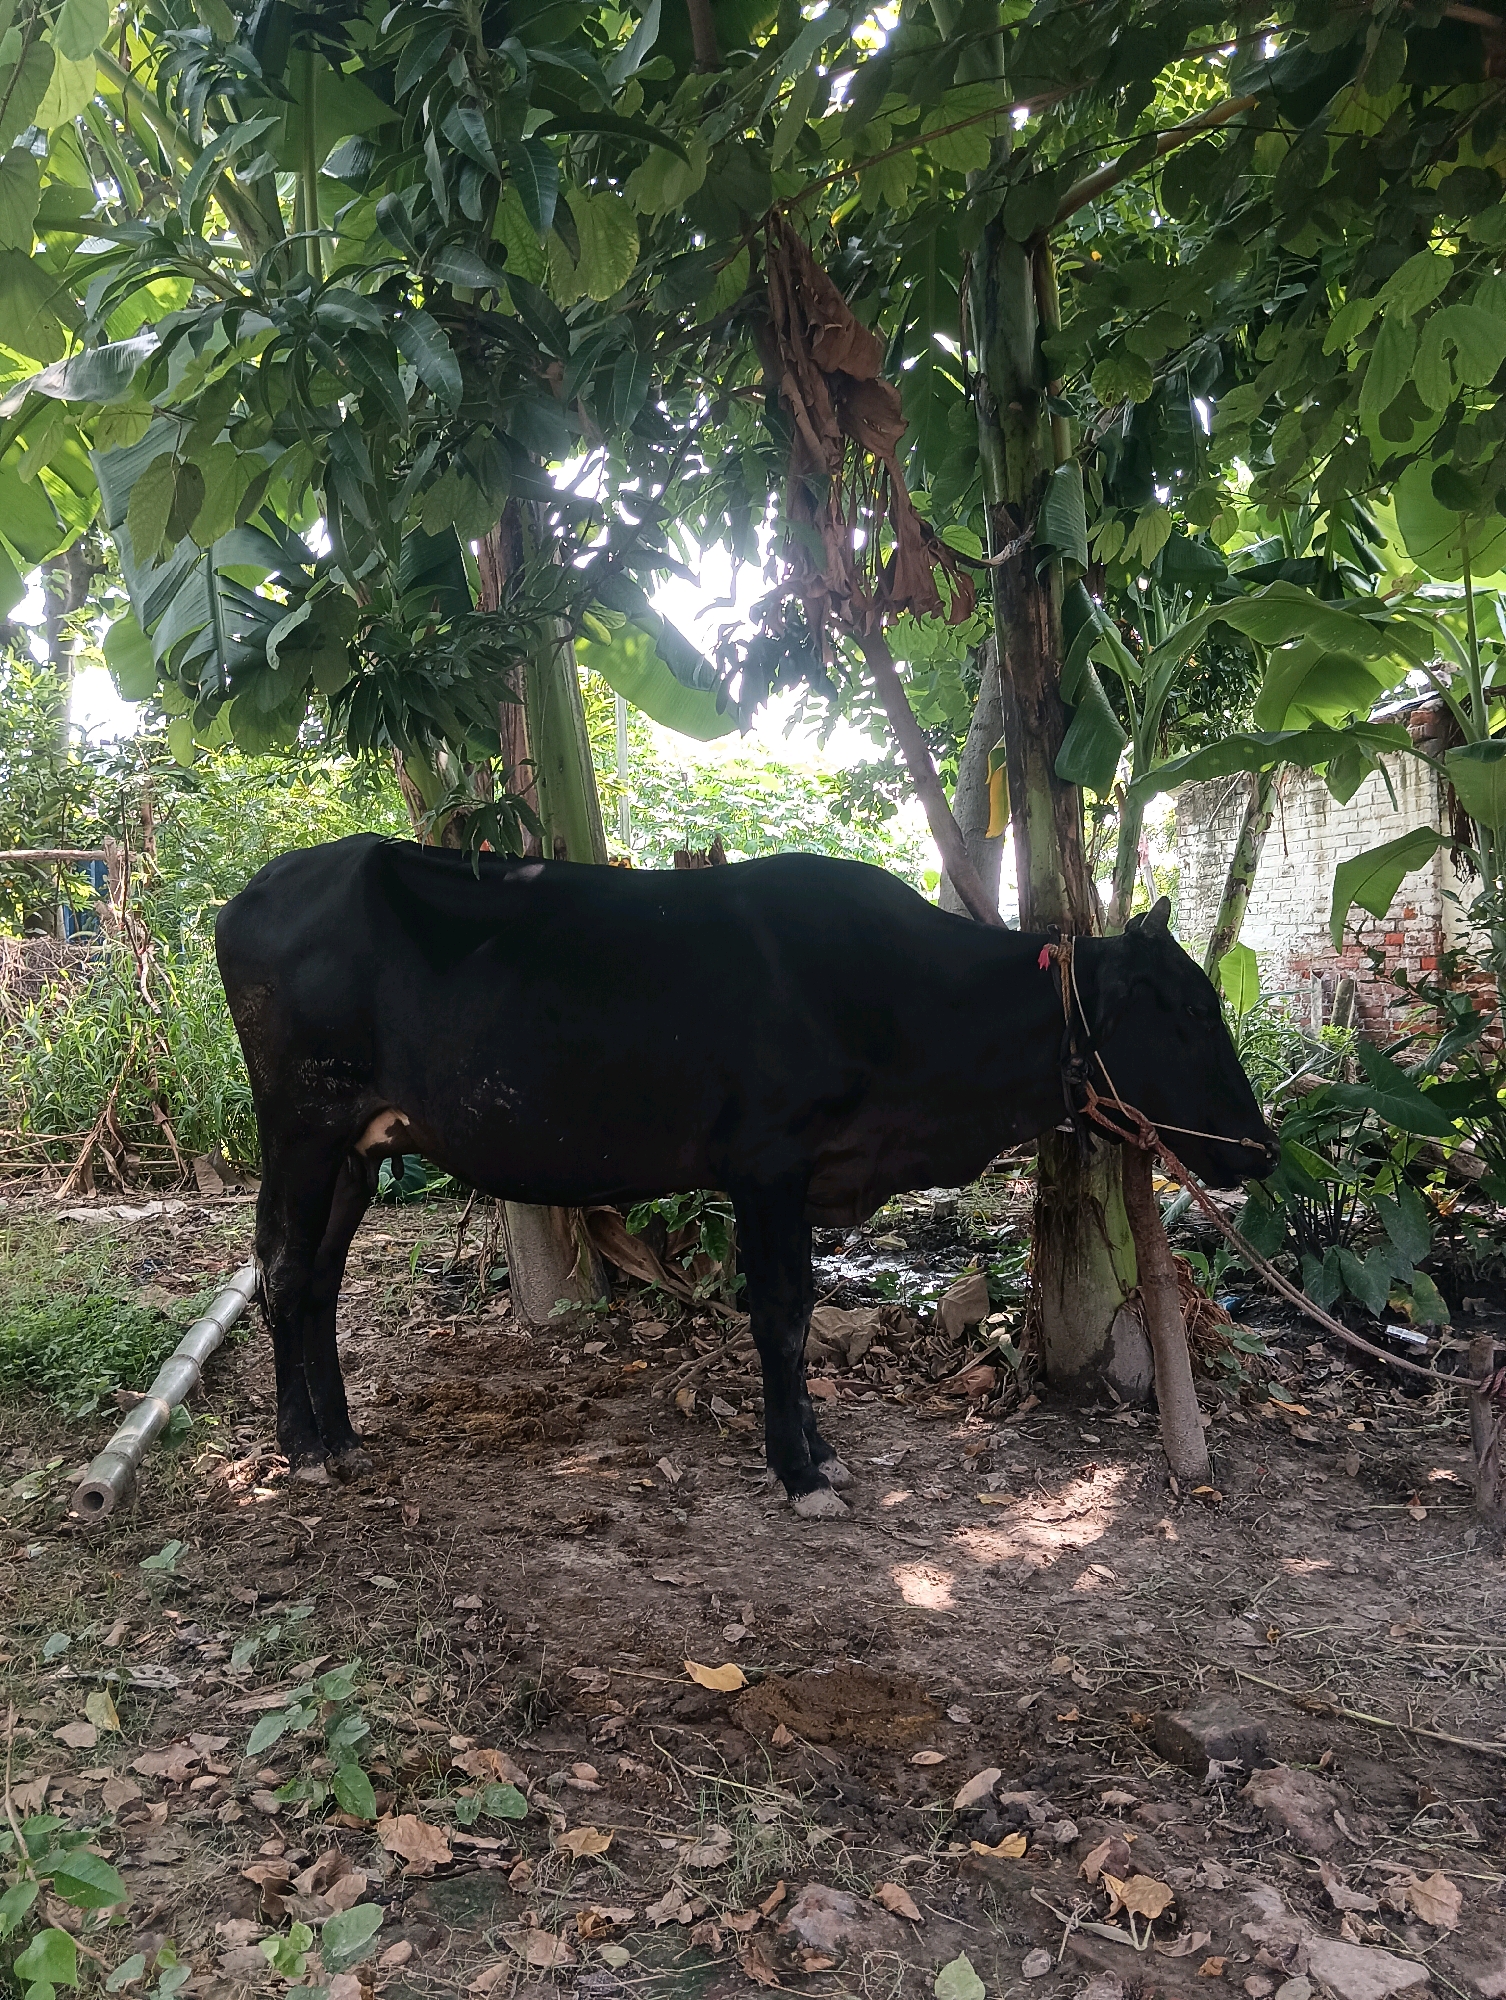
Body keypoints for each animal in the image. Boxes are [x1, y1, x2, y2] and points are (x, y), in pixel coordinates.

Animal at [216, 836, 1276, 1514]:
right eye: (1189, 1007)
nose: (1261, 1149)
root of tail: (249, 895)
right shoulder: (770, 1164)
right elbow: (784, 1314)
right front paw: (799, 1473)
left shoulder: (799, 1181)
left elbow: (798, 1312)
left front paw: (821, 1454)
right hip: (301, 1126)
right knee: (281, 1274)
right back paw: (303, 1448)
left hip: (359, 1148)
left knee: (316, 1280)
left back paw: (342, 1437)